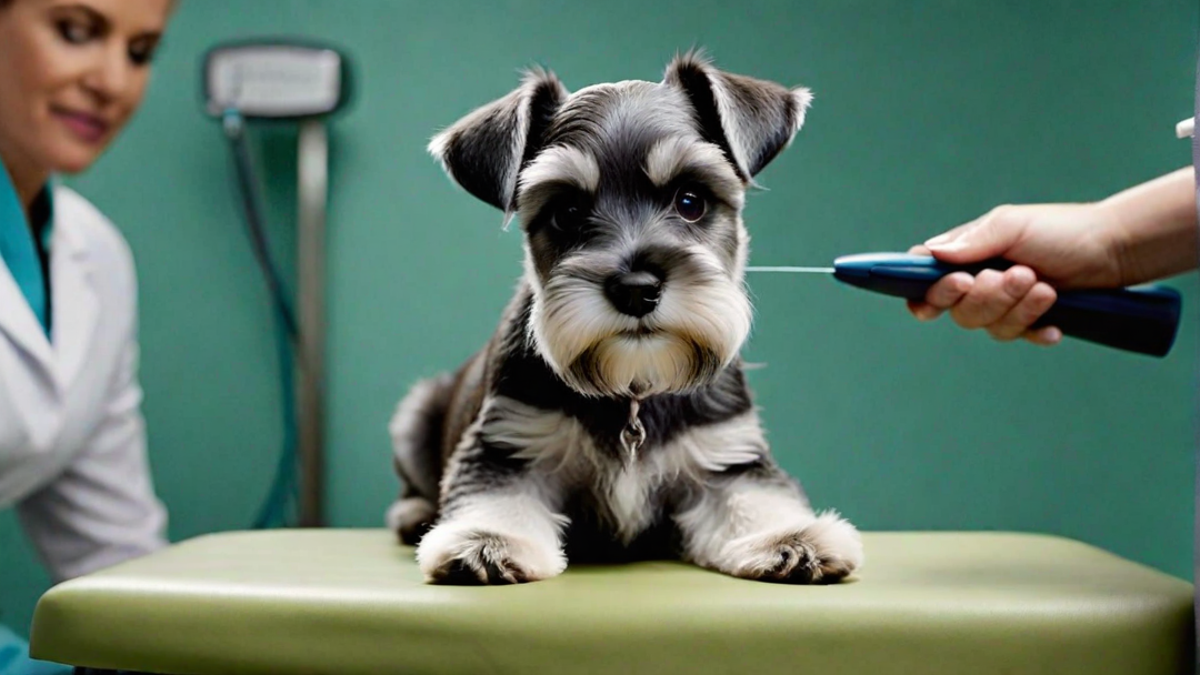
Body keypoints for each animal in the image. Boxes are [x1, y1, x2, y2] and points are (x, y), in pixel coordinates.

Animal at [386, 51, 864, 583]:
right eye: (567, 211)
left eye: (691, 200)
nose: (636, 290)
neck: (634, 388)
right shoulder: (507, 444)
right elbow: (496, 498)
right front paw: (487, 541)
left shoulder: (726, 457)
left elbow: (756, 501)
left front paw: (791, 537)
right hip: (414, 413)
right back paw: (413, 513)